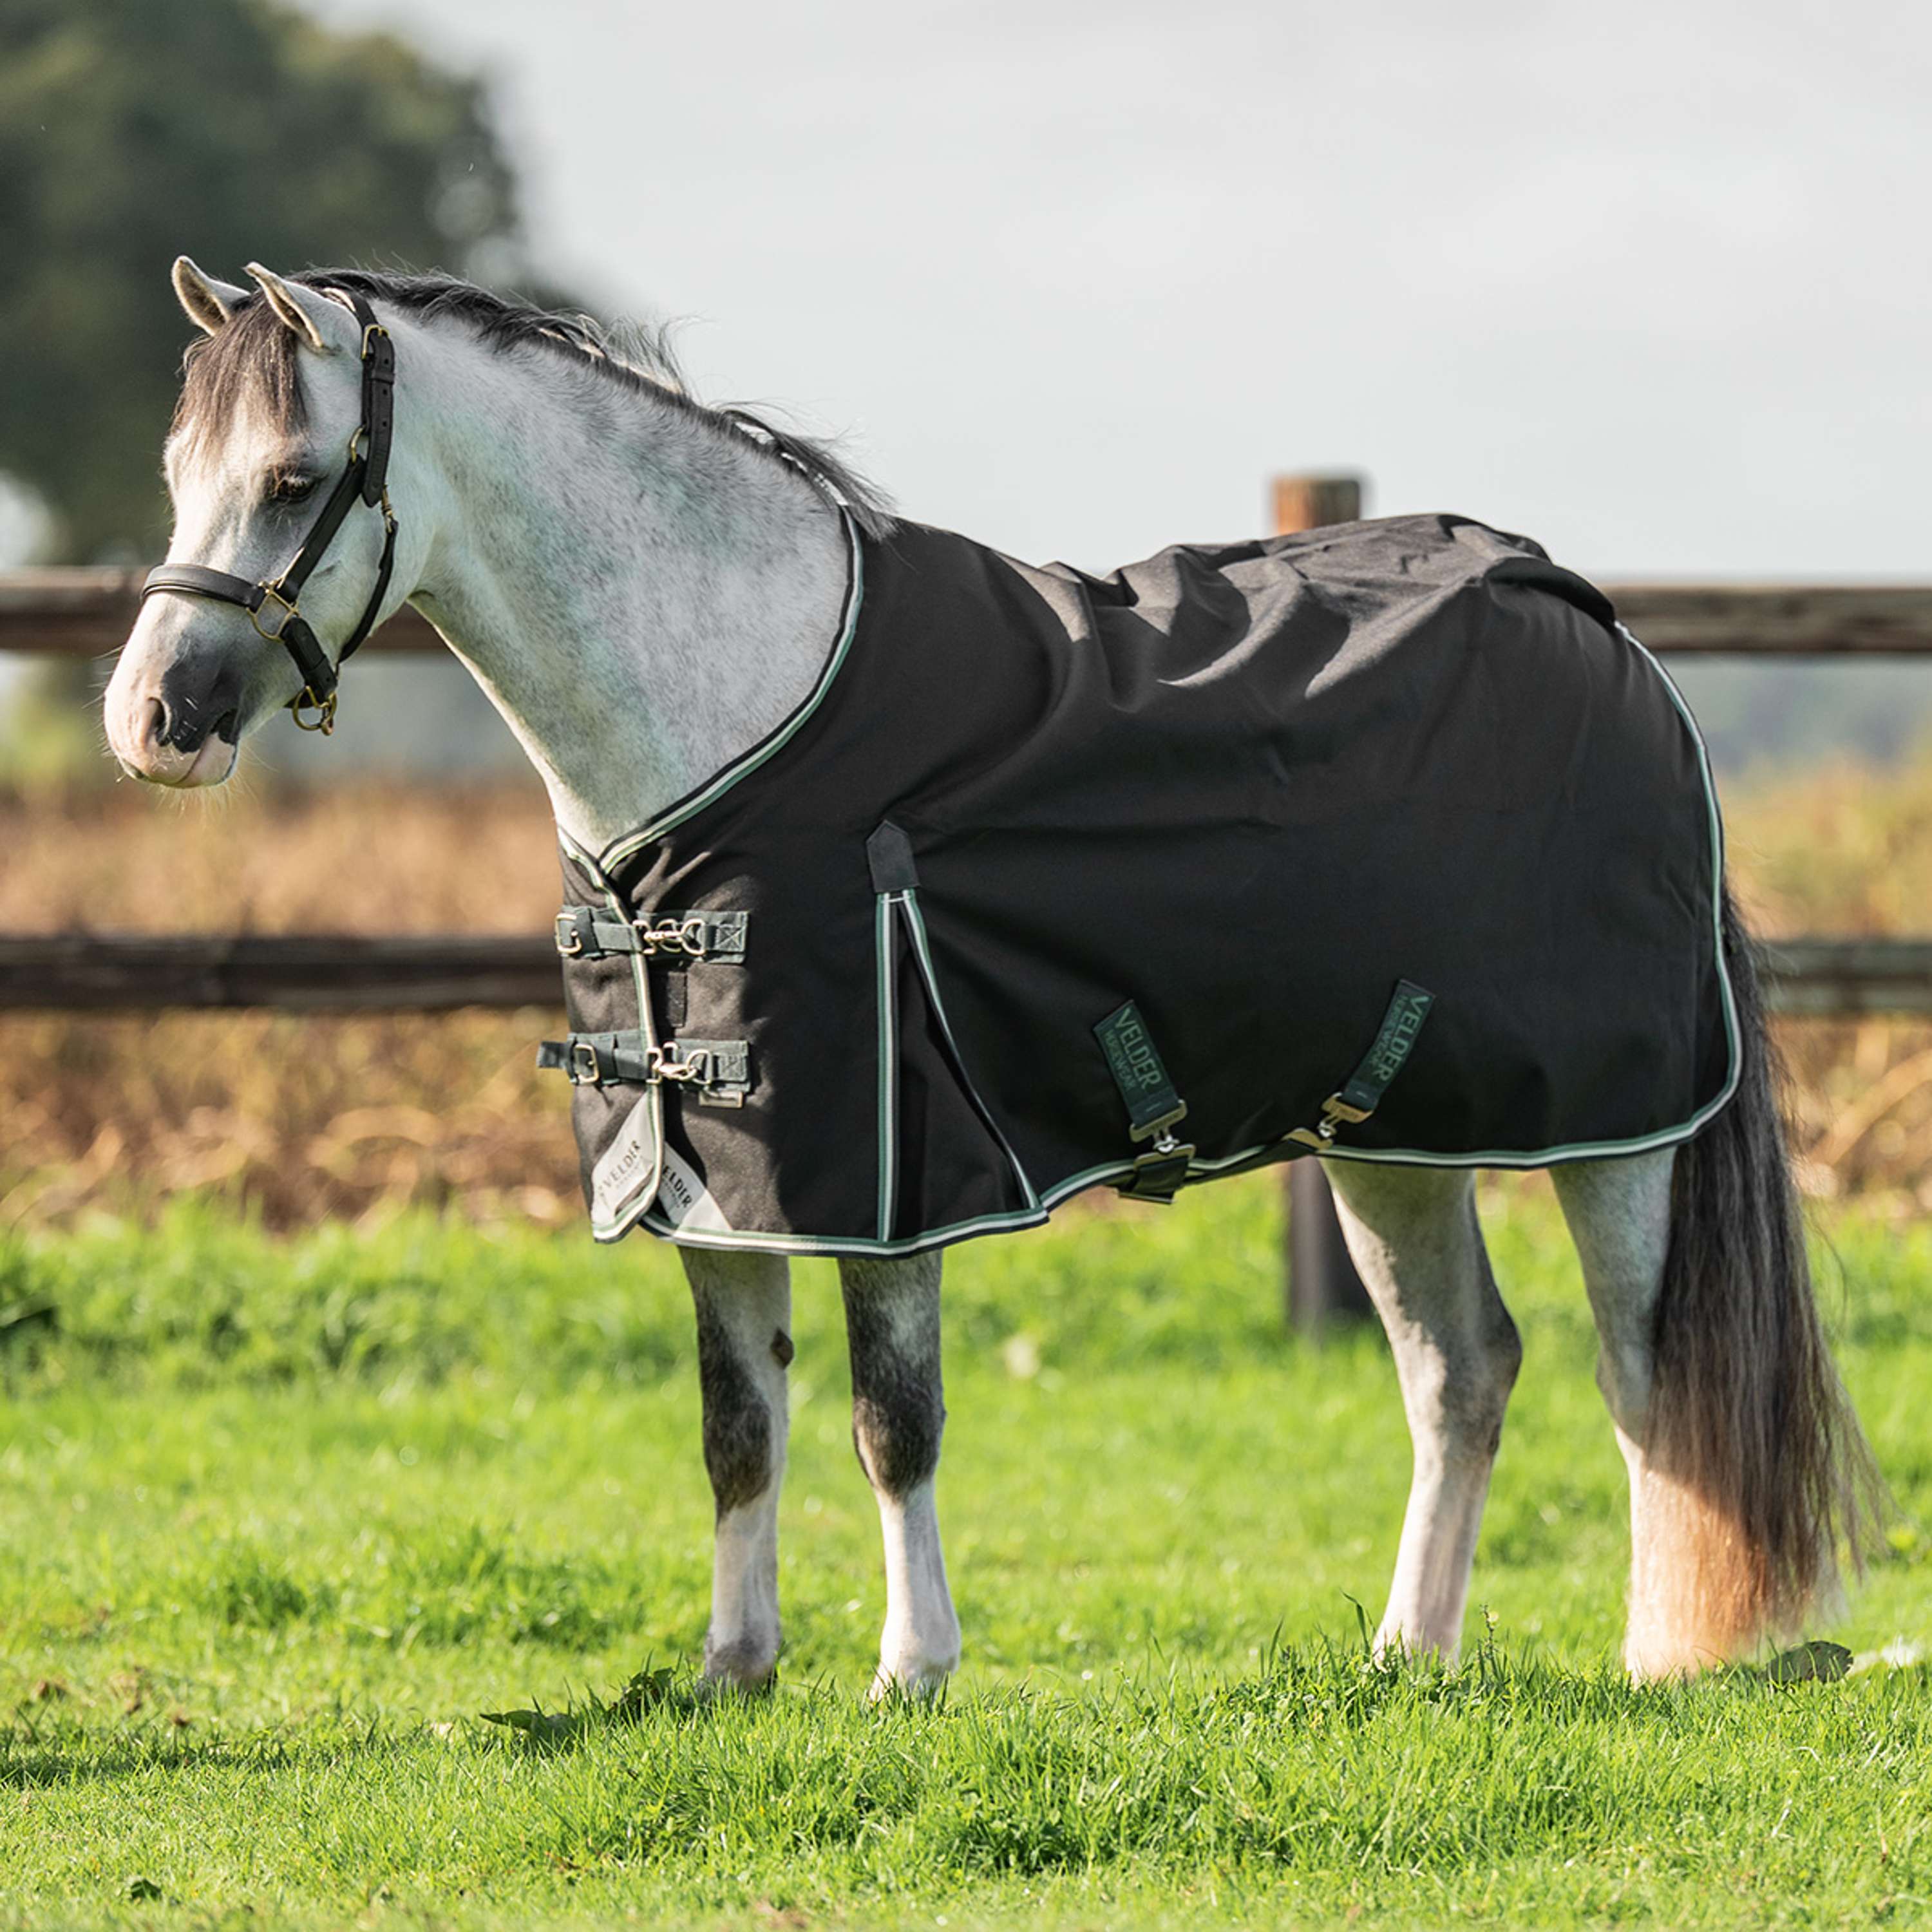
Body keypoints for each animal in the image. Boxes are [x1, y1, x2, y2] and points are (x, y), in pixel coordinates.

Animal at [104, 258, 1881, 1697]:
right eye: (177, 474)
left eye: (295, 475)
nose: (149, 723)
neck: (736, 716)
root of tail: (1597, 627)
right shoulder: (719, 1180)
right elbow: (736, 1426)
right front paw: (732, 1668)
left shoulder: (886, 1175)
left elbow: (894, 1421)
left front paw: (911, 1669)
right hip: (1392, 1134)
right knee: (1462, 1371)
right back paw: (1406, 1656)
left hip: (1615, 1129)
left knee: (1645, 1376)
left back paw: (1656, 1659)